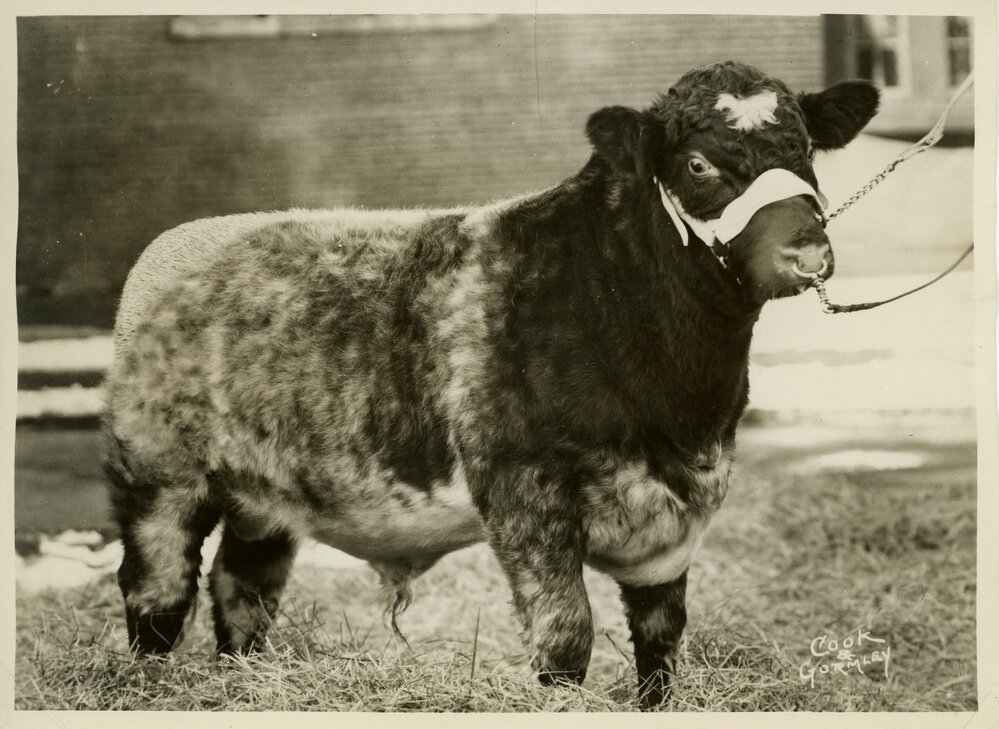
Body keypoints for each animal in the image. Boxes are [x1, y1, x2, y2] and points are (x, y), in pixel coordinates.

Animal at [103, 61, 878, 707]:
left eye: (805, 155)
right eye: (697, 163)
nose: (807, 252)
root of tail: (175, 246)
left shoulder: (679, 510)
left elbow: (660, 640)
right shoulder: (522, 489)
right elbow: (565, 636)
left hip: (262, 492)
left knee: (244, 586)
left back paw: (244, 680)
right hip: (158, 474)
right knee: (157, 590)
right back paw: (152, 686)